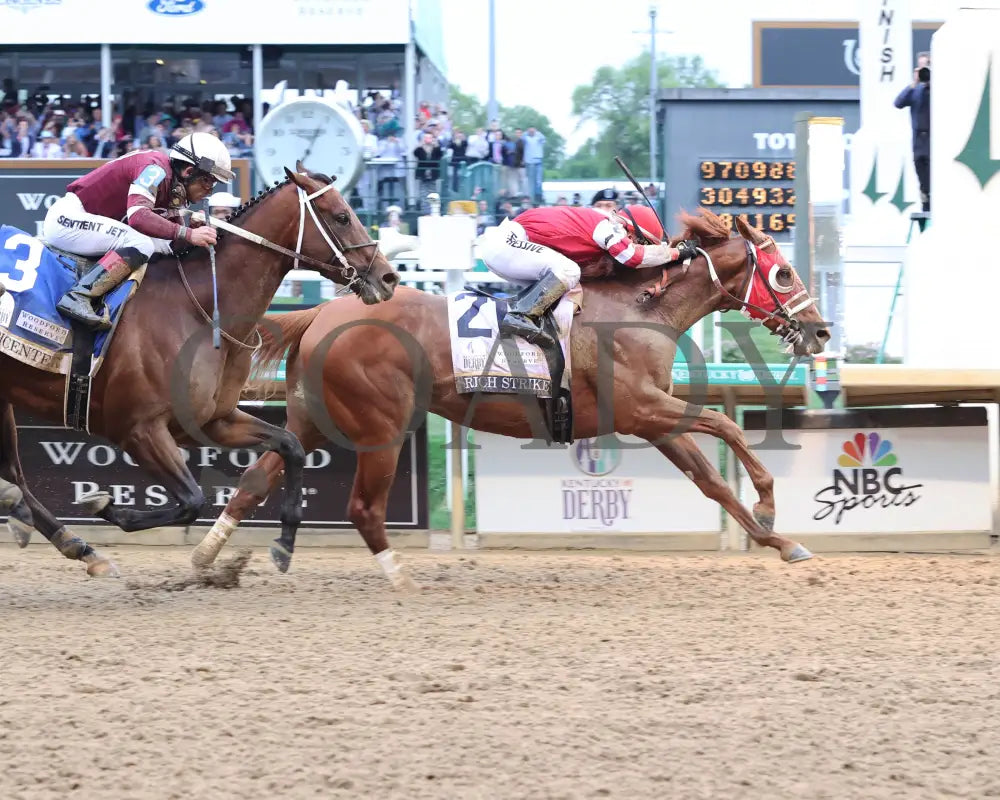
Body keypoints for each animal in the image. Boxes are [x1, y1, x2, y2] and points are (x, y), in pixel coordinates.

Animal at [0, 164, 398, 576]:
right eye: (342, 216)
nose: (388, 278)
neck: (199, 308)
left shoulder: (211, 420)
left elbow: (291, 446)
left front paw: (285, 542)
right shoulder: (139, 429)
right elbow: (192, 501)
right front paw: (106, 505)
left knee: (14, 476)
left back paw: (80, 548)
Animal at [193, 209, 828, 584]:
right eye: (784, 275)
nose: (820, 332)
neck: (644, 308)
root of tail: (324, 310)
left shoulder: (653, 421)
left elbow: (712, 480)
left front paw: (780, 541)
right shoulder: (643, 409)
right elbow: (729, 427)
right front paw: (769, 504)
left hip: (313, 419)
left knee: (257, 476)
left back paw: (208, 558)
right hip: (380, 425)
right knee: (363, 507)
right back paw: (395, 577)